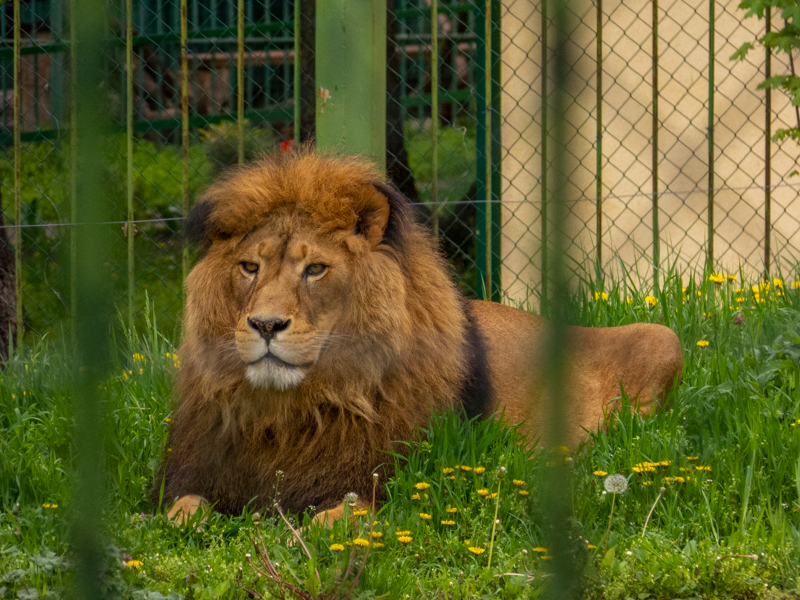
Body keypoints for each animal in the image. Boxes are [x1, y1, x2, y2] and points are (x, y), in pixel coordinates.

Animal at [156, 150, 683, 524]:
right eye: (249, 267)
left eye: (315, 269)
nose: (266, 325)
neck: (289, 411)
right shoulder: (198, 474)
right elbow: (180, 511)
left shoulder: (396, 478)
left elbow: (340, 515)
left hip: (662, 337)